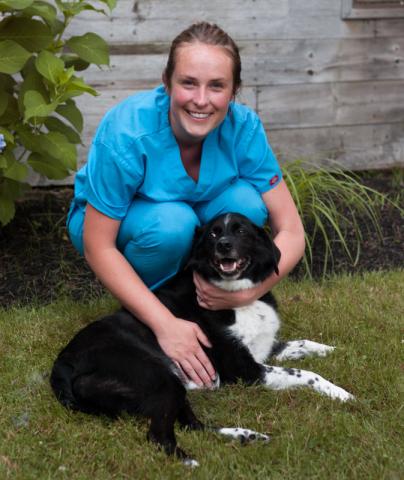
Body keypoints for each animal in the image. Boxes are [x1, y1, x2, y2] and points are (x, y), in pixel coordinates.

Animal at [50, 213, 354, 464]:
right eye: (213, 234)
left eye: (241, 231)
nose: (224, 245)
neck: (235, 297)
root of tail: (63, 363)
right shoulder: (247, 371)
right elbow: (307, 374)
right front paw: (340, 393)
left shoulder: (264, 349)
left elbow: (305, 344)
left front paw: (336, 350)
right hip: (159, 376)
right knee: (159, 434)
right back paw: (189, 461)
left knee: (191, 425)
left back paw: (245, 435)